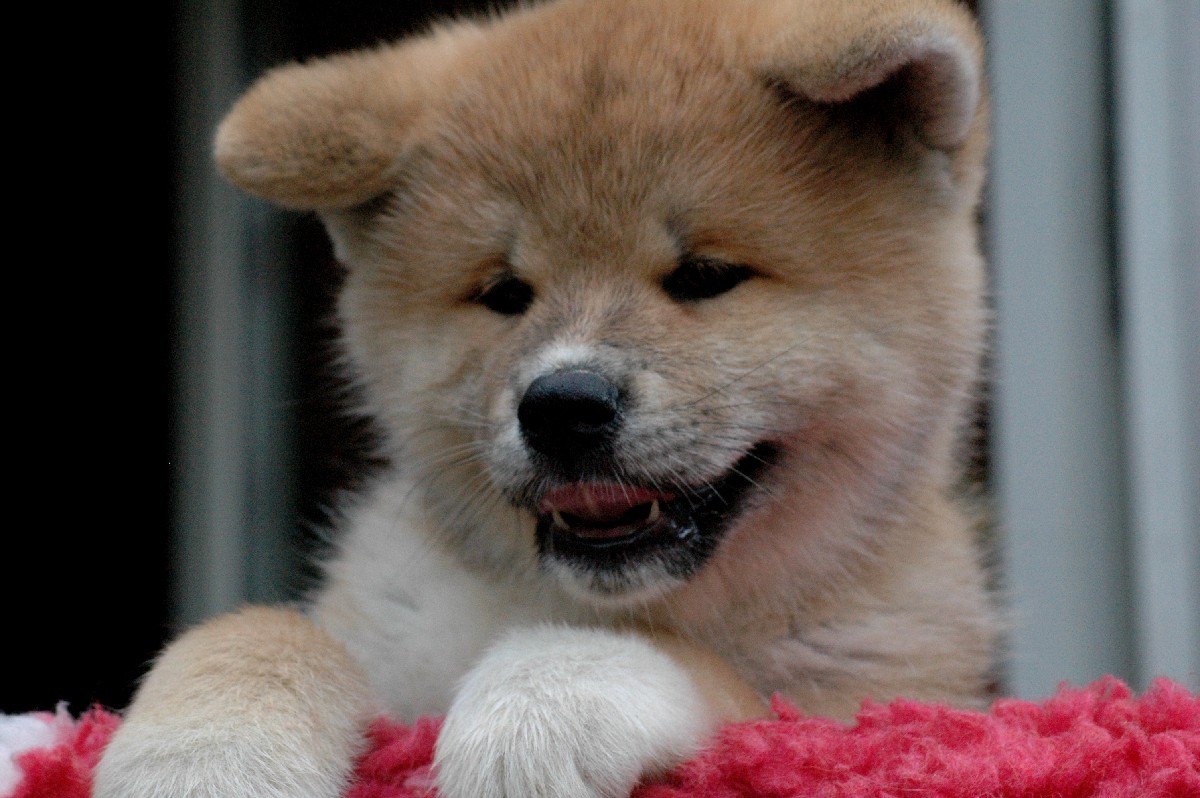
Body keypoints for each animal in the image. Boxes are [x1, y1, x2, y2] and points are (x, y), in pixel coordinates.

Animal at [95, 1, 998, 796]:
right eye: (504, 294)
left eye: (706, 276)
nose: (563, 405)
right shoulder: (383, 636)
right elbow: (258, 628)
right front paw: (202, 753)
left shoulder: (874, 713)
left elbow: (688, 664)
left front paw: (546, 702)